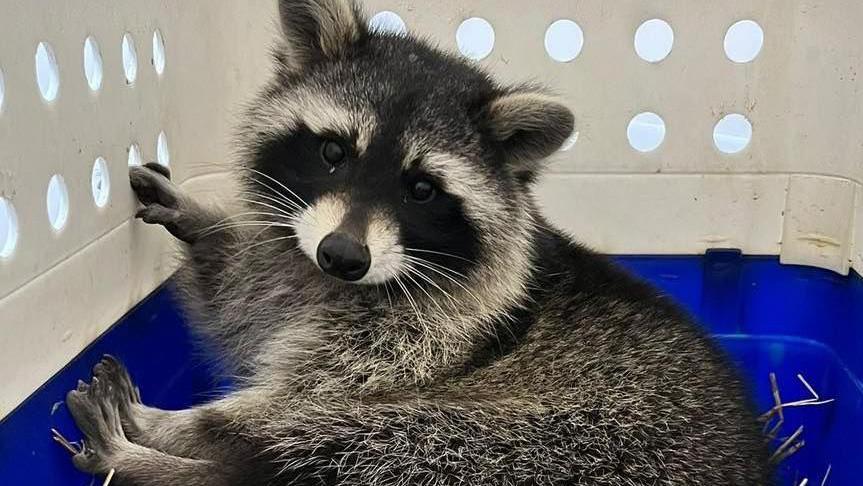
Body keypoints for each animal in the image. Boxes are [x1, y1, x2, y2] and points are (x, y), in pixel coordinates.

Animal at [64, 0, 772, 486]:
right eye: (332, 151)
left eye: (423, 190)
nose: (343, 256)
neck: (328, 283)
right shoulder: (285, 267)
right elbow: (237, 300)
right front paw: (204, 222)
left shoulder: (421, 343)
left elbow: (286, 404)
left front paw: (190, 428)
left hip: (550, 441)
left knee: (342, 443)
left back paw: (151, 448)